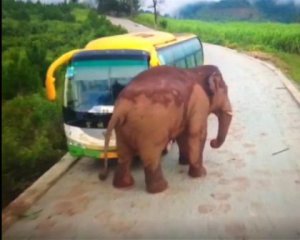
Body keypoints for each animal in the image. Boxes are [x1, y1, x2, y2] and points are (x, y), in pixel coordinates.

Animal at [101, 64, 232, 194]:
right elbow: (197, 134)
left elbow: (182, 135)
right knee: (151, 155)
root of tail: (121, 108)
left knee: (124, 154)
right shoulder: (199, 102)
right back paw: (161, 188)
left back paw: (123, 185)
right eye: (225, 90)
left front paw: (184, 163)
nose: (213, 142)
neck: (196, 71)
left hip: (122, 129)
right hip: (150, 129)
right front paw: (201, 174)